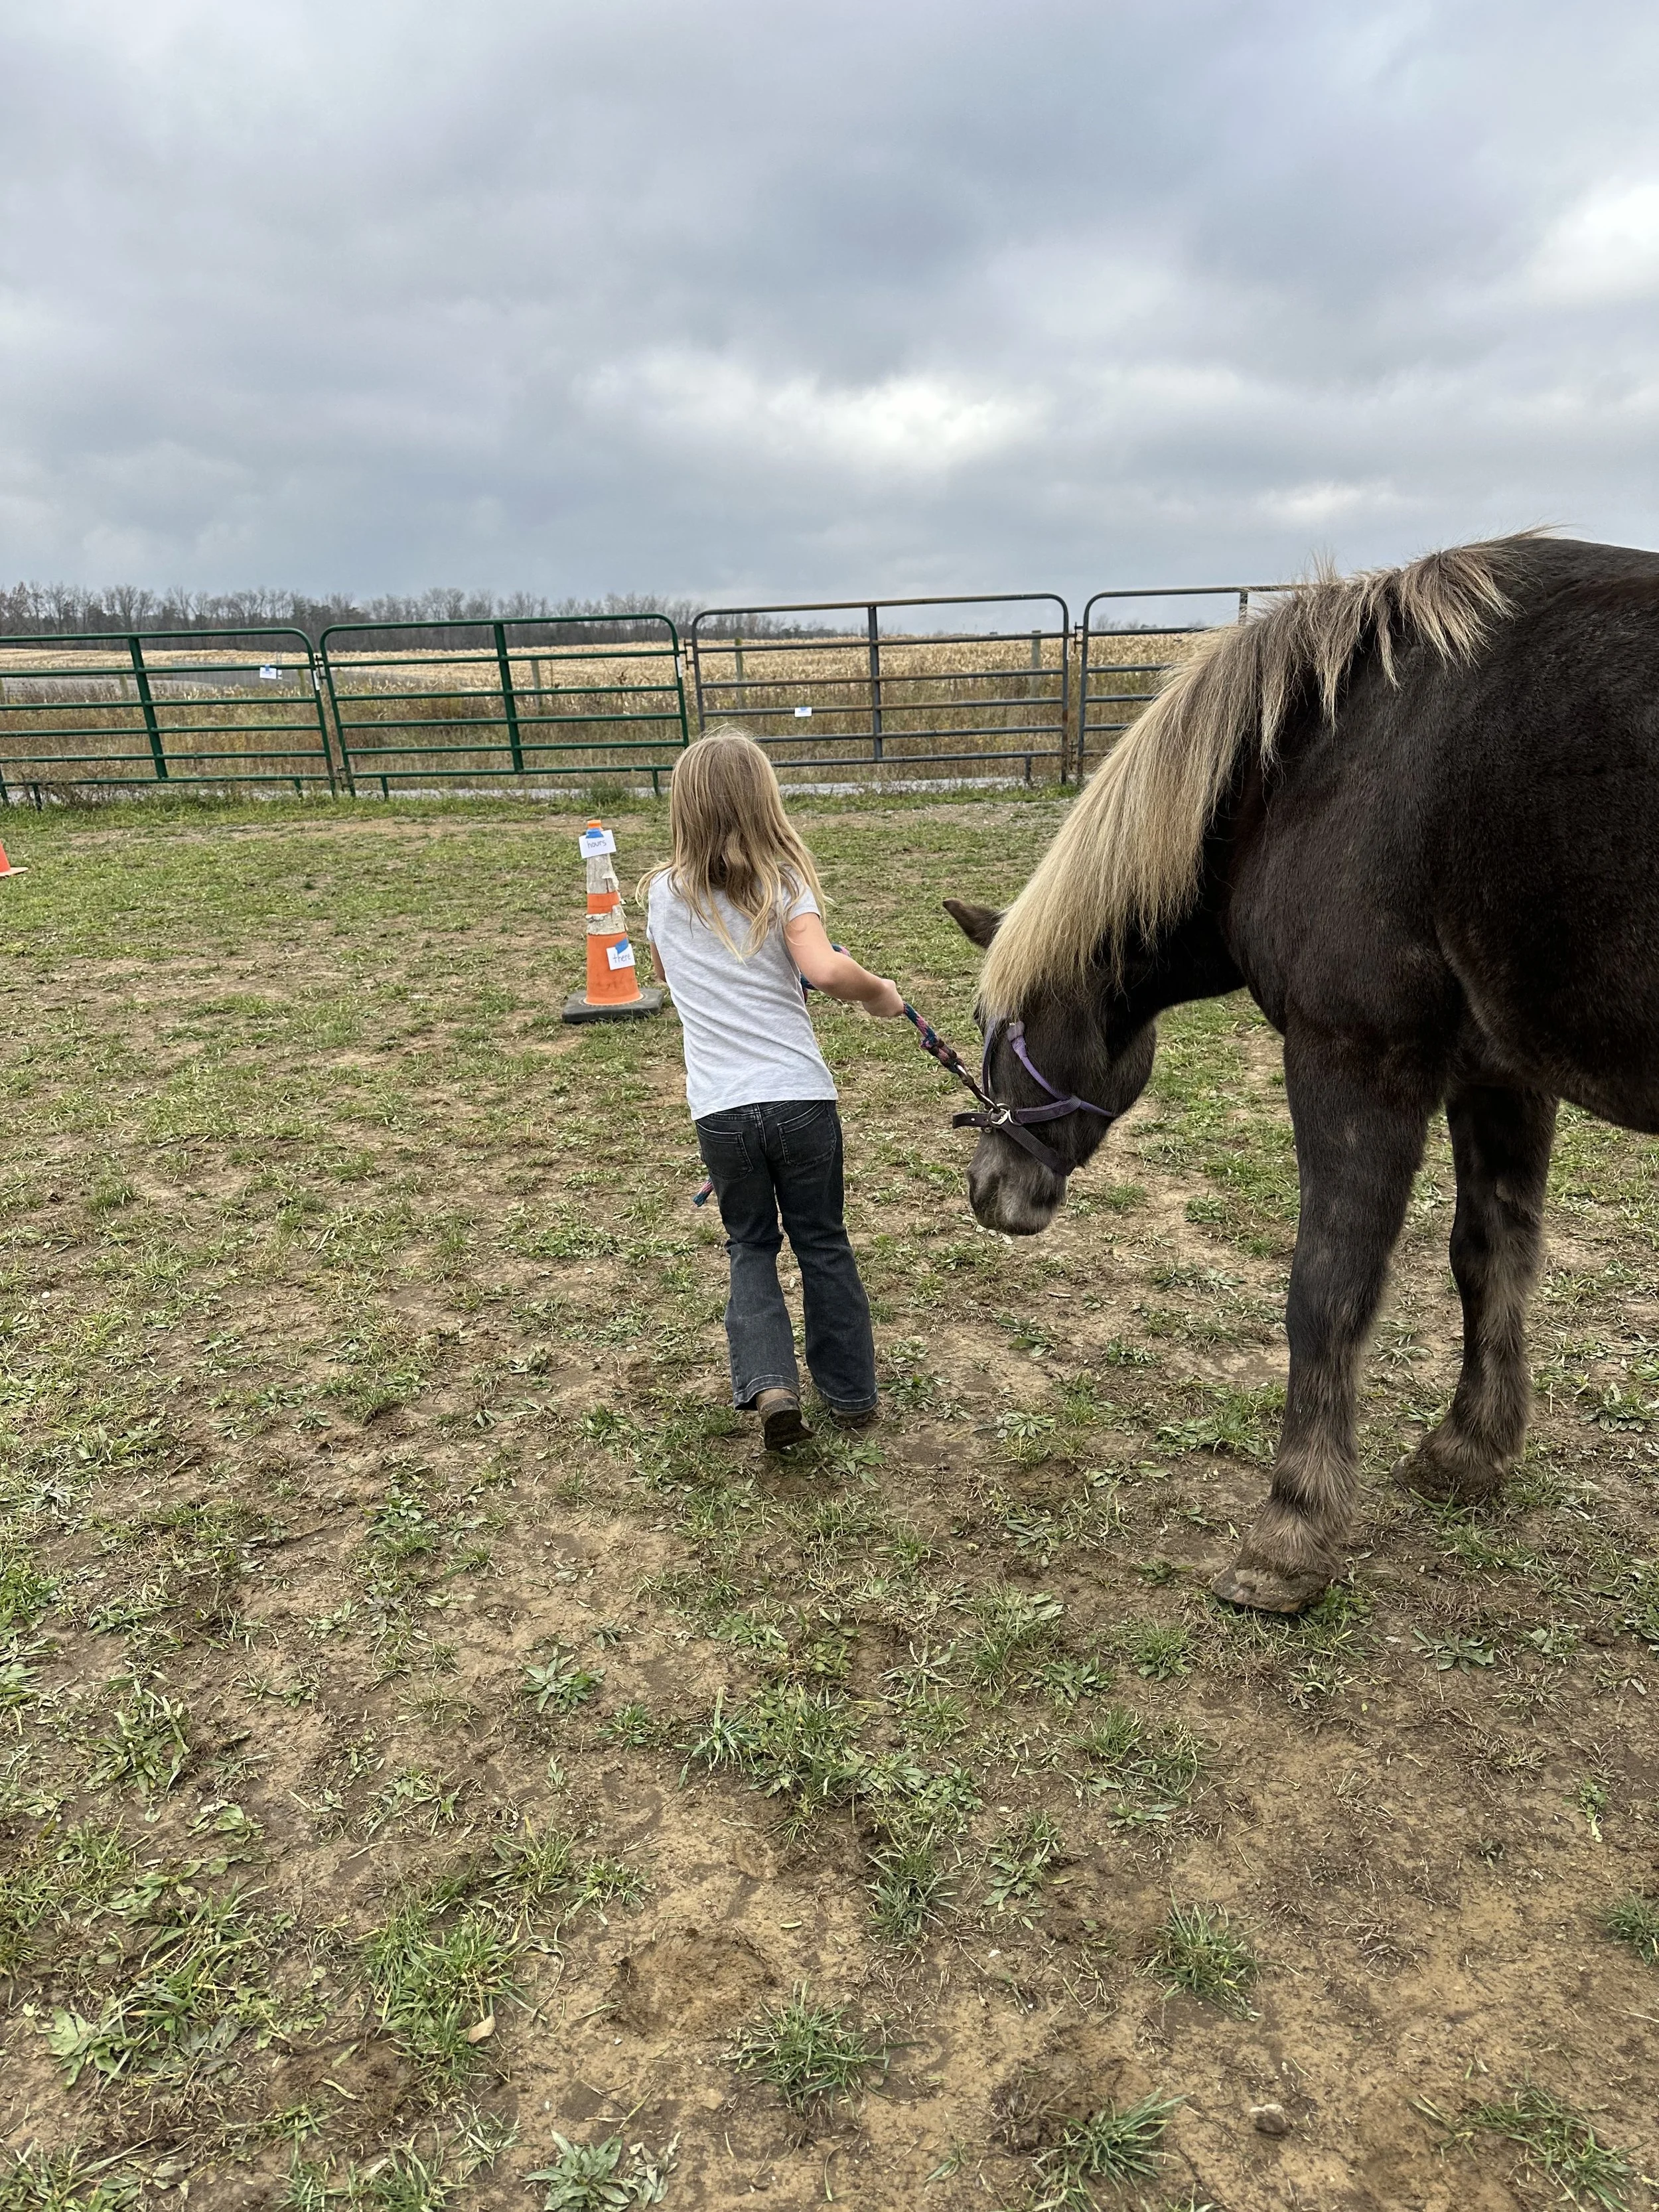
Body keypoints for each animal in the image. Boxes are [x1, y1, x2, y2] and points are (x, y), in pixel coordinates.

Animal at [946, 532, 1659, 1613]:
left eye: (1010, 1027)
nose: (990, 1191)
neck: (1311, 767)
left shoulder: (1354, 1062)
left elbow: (1328, 1287)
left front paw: (1289, 1535)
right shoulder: (1498, 1074)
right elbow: (1492, 1253)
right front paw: (1468, 1451)